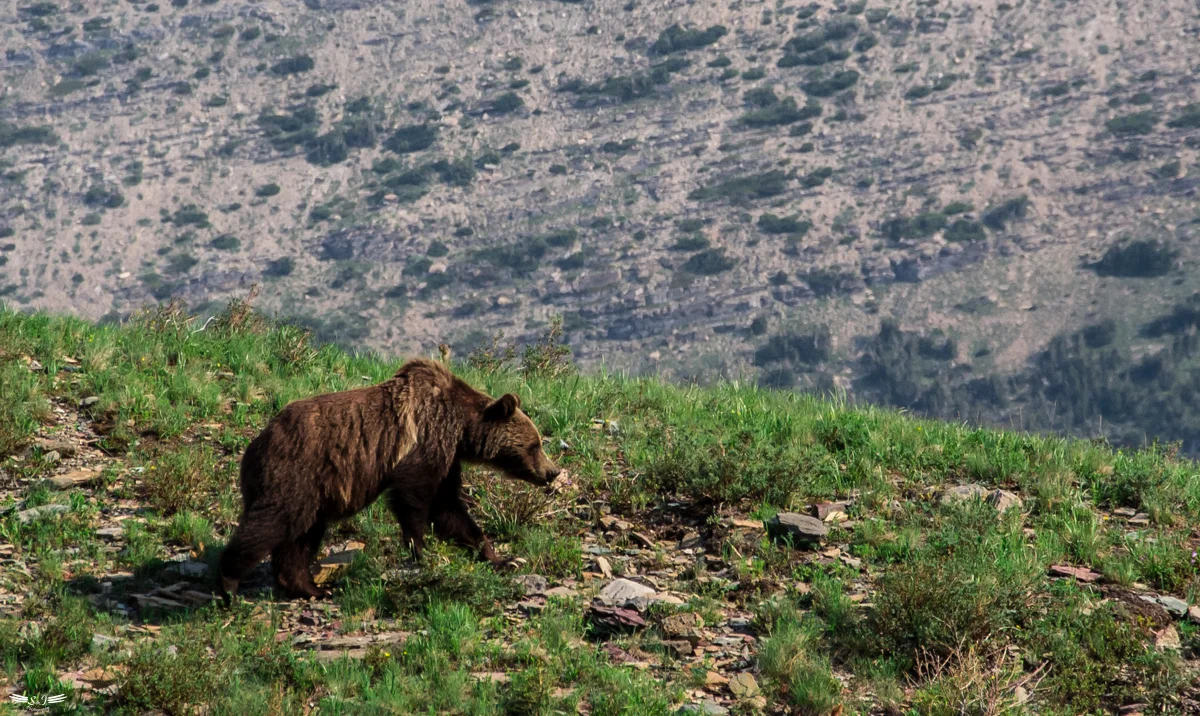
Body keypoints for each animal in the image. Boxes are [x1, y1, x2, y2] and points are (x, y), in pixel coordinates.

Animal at [218, 358, 561, 602]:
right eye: (535, 445)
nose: (552, 472)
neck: (460, 427)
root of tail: (255, 445)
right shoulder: (425, 440)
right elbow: (415, 498)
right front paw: (420, 550)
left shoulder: (447, 456)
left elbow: (449, 508)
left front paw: (501, 558)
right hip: (295, 473)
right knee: (272, 523)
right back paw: (229, 582)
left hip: (313, 493)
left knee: (302, 536)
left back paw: (312, 588)